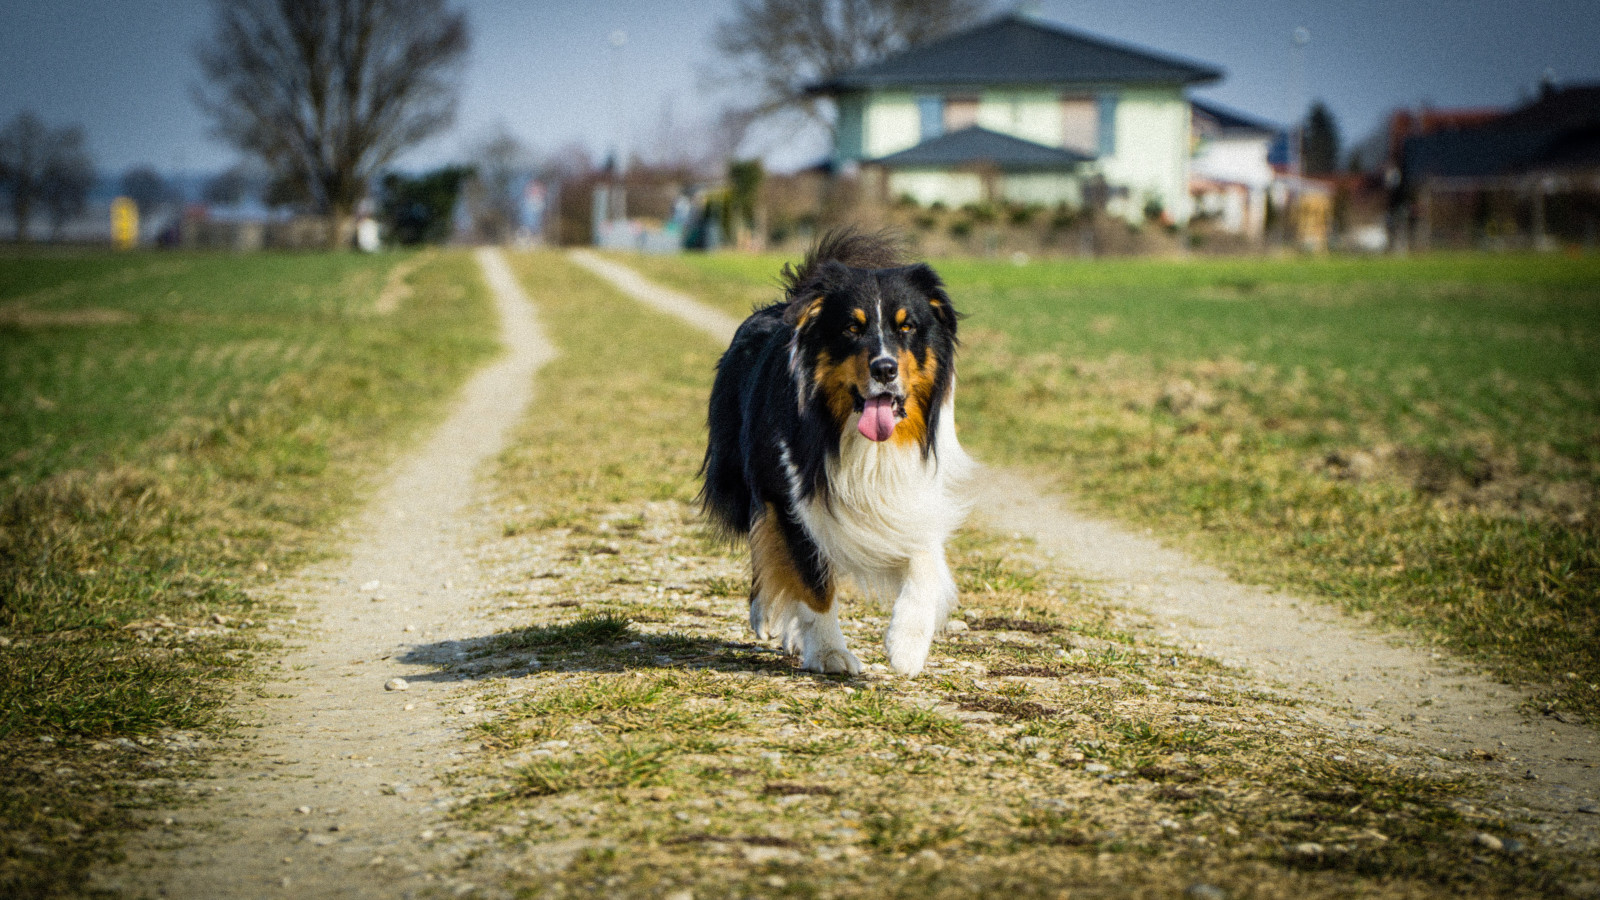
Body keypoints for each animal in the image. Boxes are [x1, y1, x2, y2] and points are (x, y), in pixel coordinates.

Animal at [704, 230, 972, 672]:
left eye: (908, 327)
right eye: (851, 328)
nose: (884, 369)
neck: (865, 442)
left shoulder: (910, 494)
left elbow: (925, 560)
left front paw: (907, 644)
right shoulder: (791, 499)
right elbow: (812, 582)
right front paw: (830, 652)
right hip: (739, 478)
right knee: (764, 541)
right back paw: (767, 616)